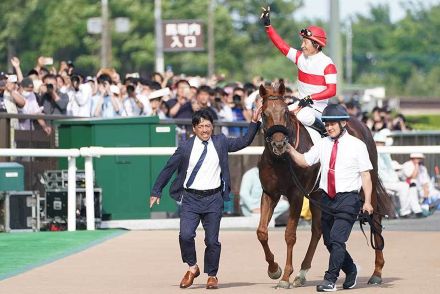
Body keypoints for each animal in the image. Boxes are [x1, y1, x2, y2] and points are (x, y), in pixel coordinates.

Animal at [256, 81, 394, 288]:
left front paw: (285, 276)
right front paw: (274, 270)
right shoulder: (270, 193)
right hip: (317, 194)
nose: (279, 144)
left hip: (365, 186)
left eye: (285, 112)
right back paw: (302, 273)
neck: (280, 161)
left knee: (374, 219)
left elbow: (290, 235)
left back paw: (377, 272)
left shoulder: (296, 195)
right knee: (318, 229)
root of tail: (362, 125)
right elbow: (262, 232)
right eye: (265, 114)